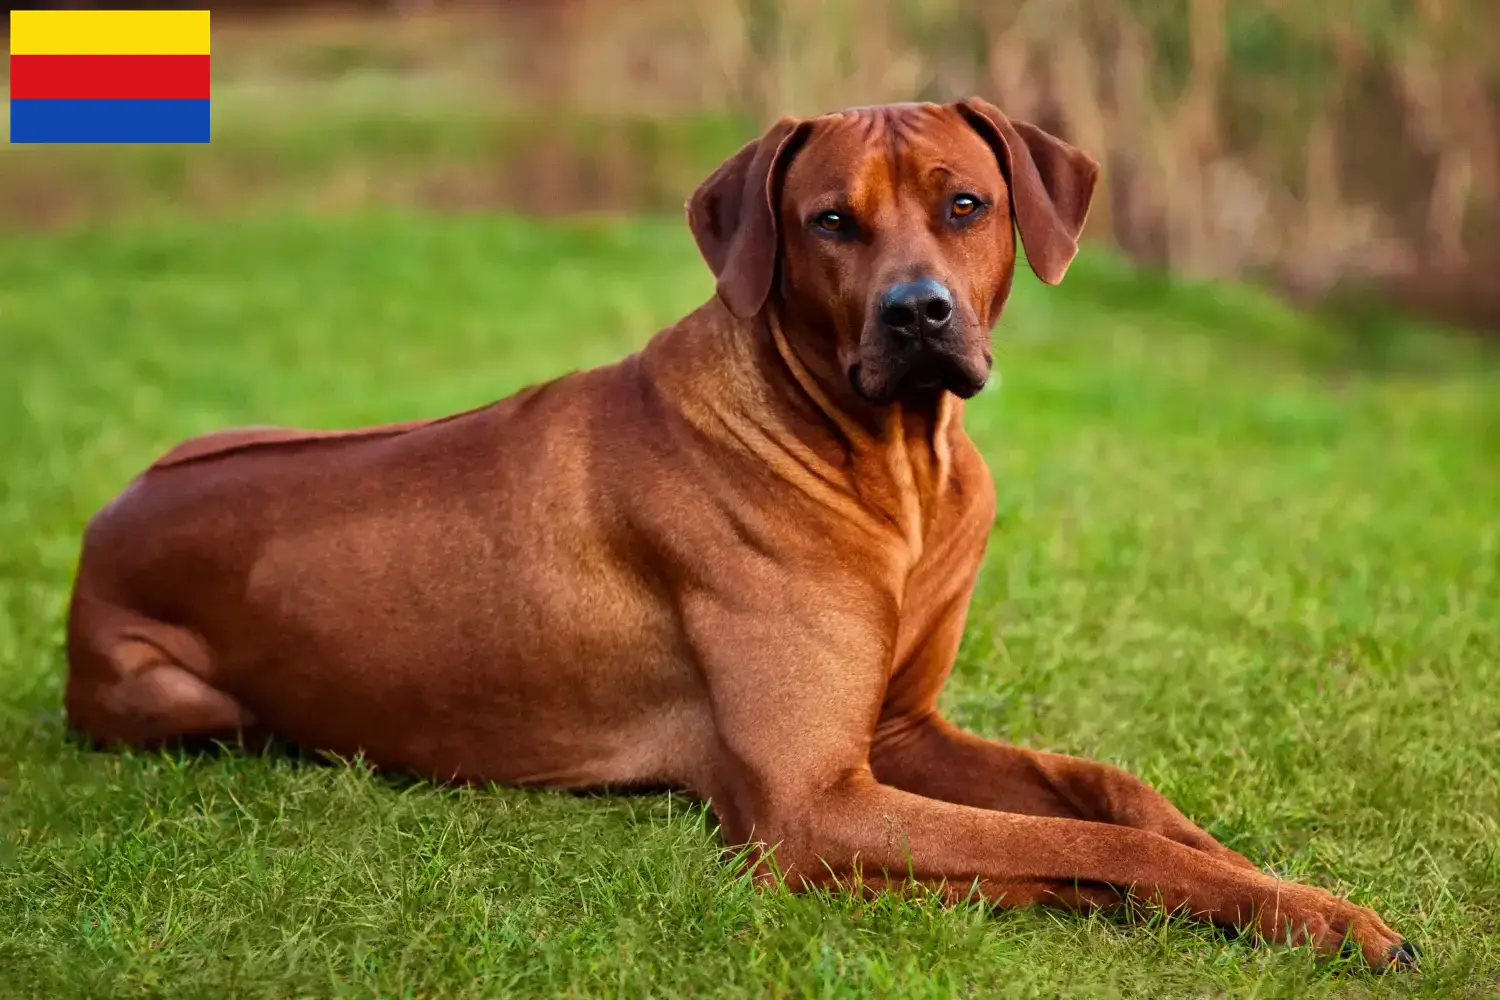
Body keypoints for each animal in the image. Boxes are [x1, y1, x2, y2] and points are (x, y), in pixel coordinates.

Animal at [61, 99, 1416, 971]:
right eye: (829, 222)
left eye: (965, 203)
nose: (918, 314)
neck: (891, 467)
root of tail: (103, 518)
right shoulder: (815, 802)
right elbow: (1080, 844)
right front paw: (1267, 905)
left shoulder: (902, 727)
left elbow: (1112, 791)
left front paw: (1280, 882)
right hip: (181, 698)